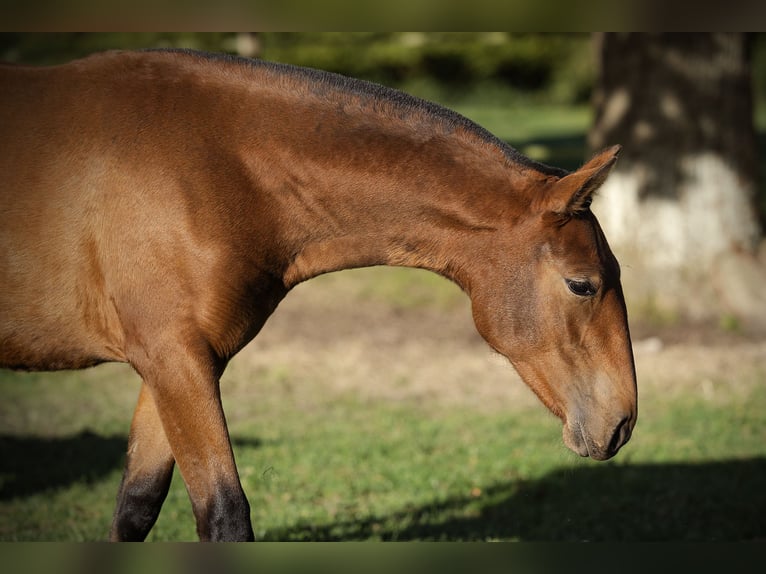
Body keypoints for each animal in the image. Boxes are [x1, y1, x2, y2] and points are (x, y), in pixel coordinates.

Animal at [0, 48, 636, 540]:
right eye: (582, 284)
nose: (623, 423)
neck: (213, 166)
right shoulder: (172, 357)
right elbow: (225, 514)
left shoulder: (177, 362)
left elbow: (135, 506)